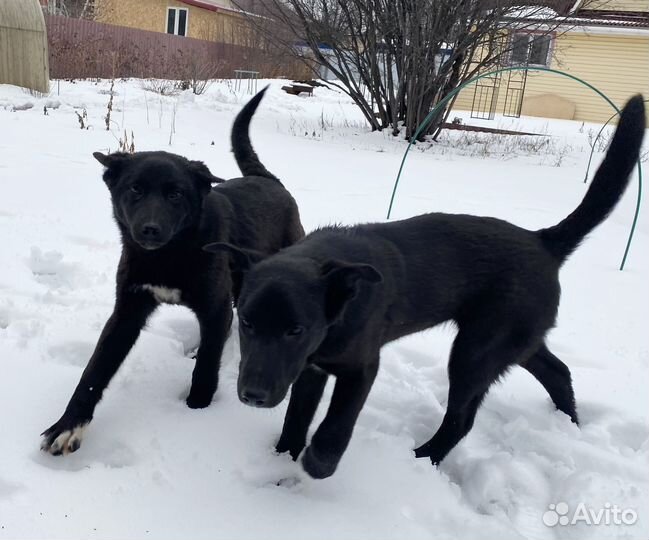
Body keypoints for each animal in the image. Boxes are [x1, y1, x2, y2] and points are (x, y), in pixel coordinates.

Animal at [41, 88, 306, 456]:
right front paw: (69, 425)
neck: (168, 256)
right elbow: (94, 371)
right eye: (135, 189)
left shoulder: (214, 305)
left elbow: (207, 362)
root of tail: (269, 180)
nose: (150, 229)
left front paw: (197, 407)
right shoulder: (127, 312)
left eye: (175, 194)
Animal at [206, 96, 644, 476]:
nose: (252, 395)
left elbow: (337, 420)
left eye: (295, 330)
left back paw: (423, 458)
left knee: (463, 418)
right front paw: (282, 458)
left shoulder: (361, 366)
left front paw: (319, 462)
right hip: (513, 338)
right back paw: (570, 423)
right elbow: (297, 415)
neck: (341, 300)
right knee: (557, 370)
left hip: (476, 350)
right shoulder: (311, 366)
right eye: (247, 323)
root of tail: (544, 241)